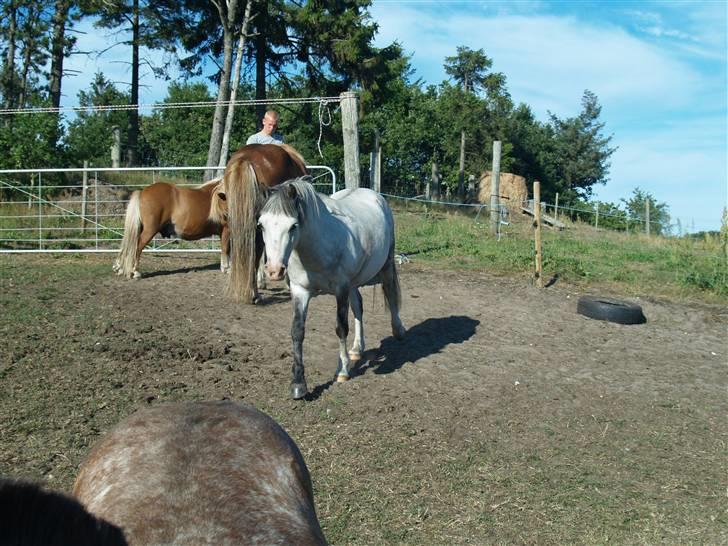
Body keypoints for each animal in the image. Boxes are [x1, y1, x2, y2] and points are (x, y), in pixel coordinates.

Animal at [258, 176, 406, 398]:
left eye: (293, 225)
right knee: (358, 307)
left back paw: (398, 330)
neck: (317, 247)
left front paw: (342, 371)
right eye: (261, 225)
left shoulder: (340, 289)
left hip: (386, 263)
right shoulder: (300, 291)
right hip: (354, 283)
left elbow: (341, 327)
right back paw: (357, 349)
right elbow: (297, 331)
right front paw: (298, 384)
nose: (274, 271)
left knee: (389, 292)